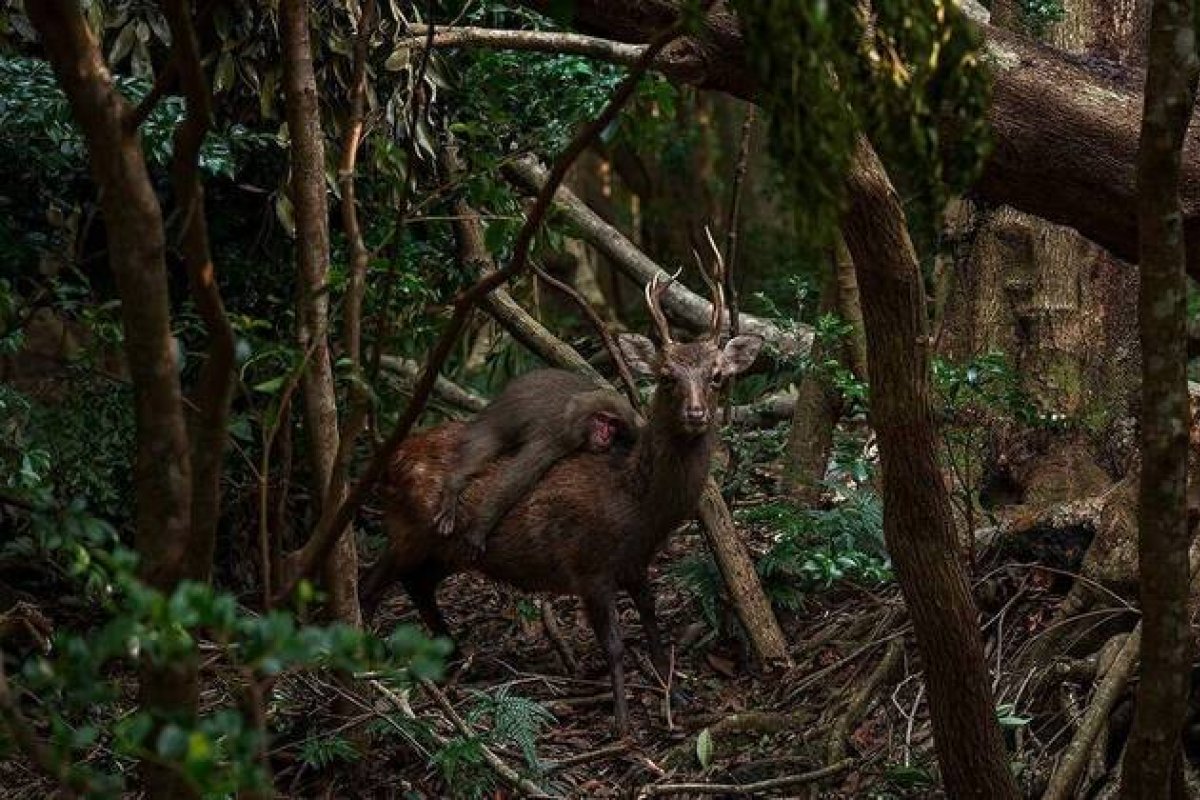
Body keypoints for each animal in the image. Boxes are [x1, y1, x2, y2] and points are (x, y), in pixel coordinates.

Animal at [433, 368, 640, 558]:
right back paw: (454, 484)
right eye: (600, 419)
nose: (605, 435)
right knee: (484, 444)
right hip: (499, 416)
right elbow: (516, 479)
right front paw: (479, 529)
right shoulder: (557, 435)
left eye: (613, 424)